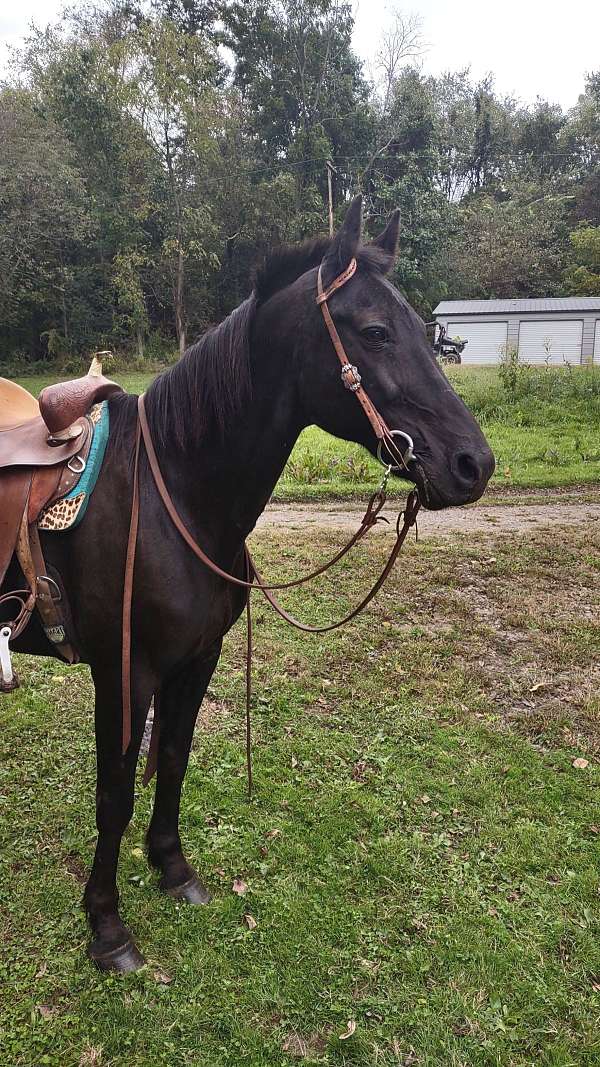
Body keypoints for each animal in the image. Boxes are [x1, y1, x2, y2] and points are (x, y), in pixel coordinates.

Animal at [2, 197, 495, 971]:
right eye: (376, 332)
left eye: (425, 331)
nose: (475, 464)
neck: (174, 489)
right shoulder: (124, 672)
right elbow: (114, 792)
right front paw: (107, 926)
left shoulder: (196, 658)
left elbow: (174, 758)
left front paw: (174, 870)